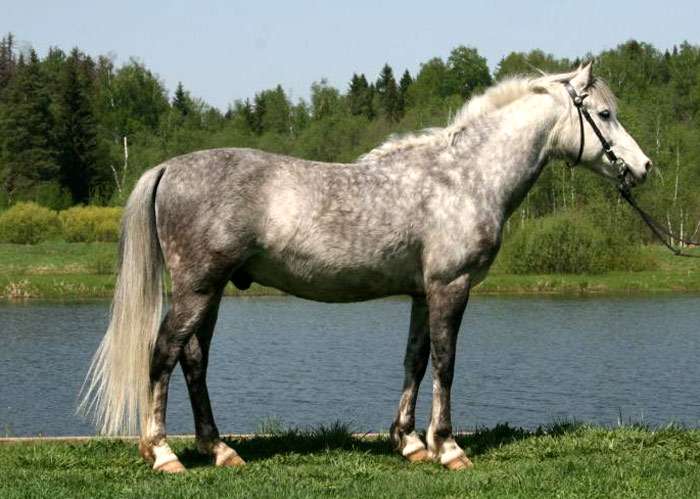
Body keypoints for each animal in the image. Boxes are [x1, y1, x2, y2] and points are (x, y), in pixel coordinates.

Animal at [80, 62, 652, 472]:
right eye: (604, 114)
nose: (643, 167)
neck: (464, 178)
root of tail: (168, 167)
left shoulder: (423, 292)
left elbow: (415, 361)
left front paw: (410, 442)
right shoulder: (451, 287)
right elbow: (445, 363)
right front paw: (448, 448)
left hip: (212, 291)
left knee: (194, 360)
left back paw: (220, 450)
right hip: (197, 288)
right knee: (163, 355)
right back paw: (163, 454)